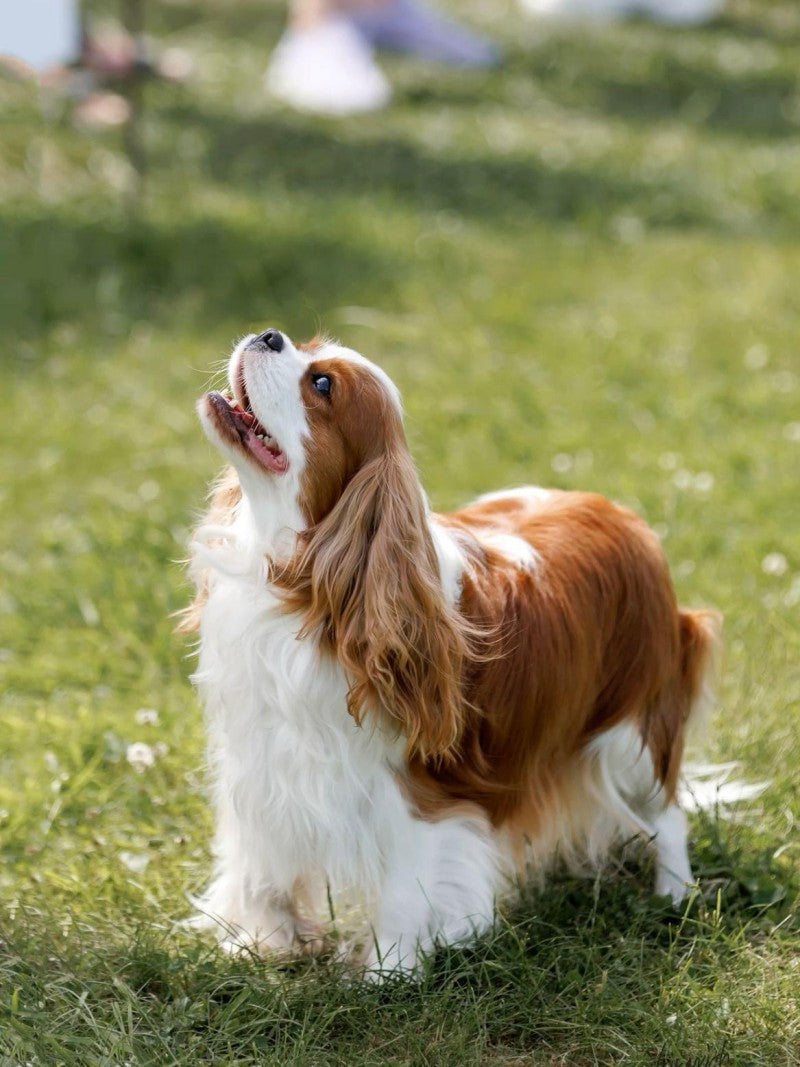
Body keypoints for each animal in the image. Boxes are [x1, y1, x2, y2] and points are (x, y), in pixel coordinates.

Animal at [181, 326, 721, 977]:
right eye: (306, 345)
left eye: (322, 384)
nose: (269, 334)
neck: (298, 584)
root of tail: (623, 515)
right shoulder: (260, 763)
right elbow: (260, 865)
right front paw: (264, 941)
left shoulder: (421, 793)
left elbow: (406, 883)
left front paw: (387, 972)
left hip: (633, 724)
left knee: (667, 806)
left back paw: (674, 893)